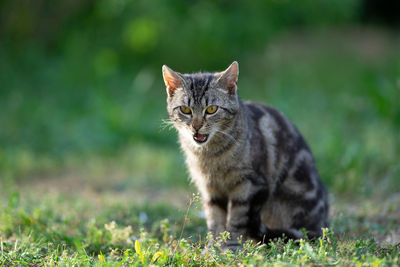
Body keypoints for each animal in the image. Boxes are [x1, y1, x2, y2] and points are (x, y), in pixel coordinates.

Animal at [162, 61, 328, 250]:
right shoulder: (210, 189)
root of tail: (322, 223)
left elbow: (237, 220)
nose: (196, 126)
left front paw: (232, 246)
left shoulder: (248, 186)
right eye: (185, 109)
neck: (211, 156)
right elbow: (215, 221)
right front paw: (213, 248)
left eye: (211, 109)